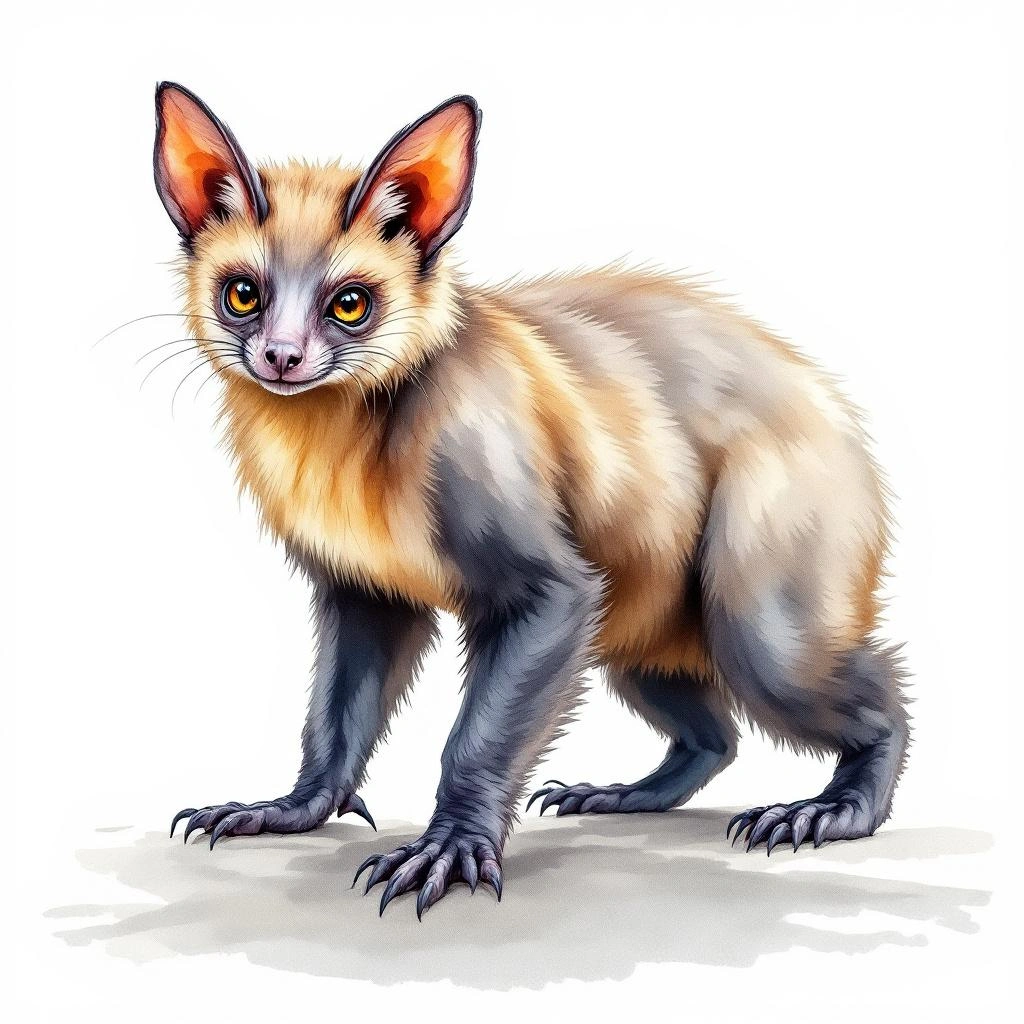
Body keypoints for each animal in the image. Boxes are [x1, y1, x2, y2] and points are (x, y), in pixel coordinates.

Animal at [154, 82, 910, 919]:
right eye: (243, 294)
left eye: (349, 303)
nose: (281, 357)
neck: (349, 446)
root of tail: (837, 416)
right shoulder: (364, 592)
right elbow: (333, 715)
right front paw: (293, 808)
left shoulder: (551, 592)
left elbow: (476, 738)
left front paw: (450, 850)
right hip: (642, 620)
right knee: (715, 736)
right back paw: (625, 796)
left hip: (757, 609)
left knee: (856, 689)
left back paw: (837, 809)